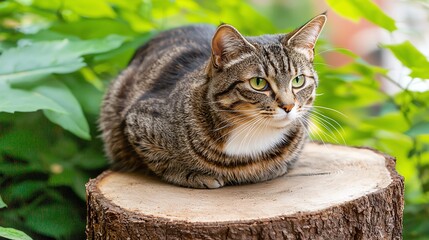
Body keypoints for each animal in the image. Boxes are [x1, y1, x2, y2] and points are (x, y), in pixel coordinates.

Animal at [100, 14, 326, 188]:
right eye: (258, 83)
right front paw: (191, 175)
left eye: (298, 80)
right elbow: (160, 161)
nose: (288, 106)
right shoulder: (136, 119)